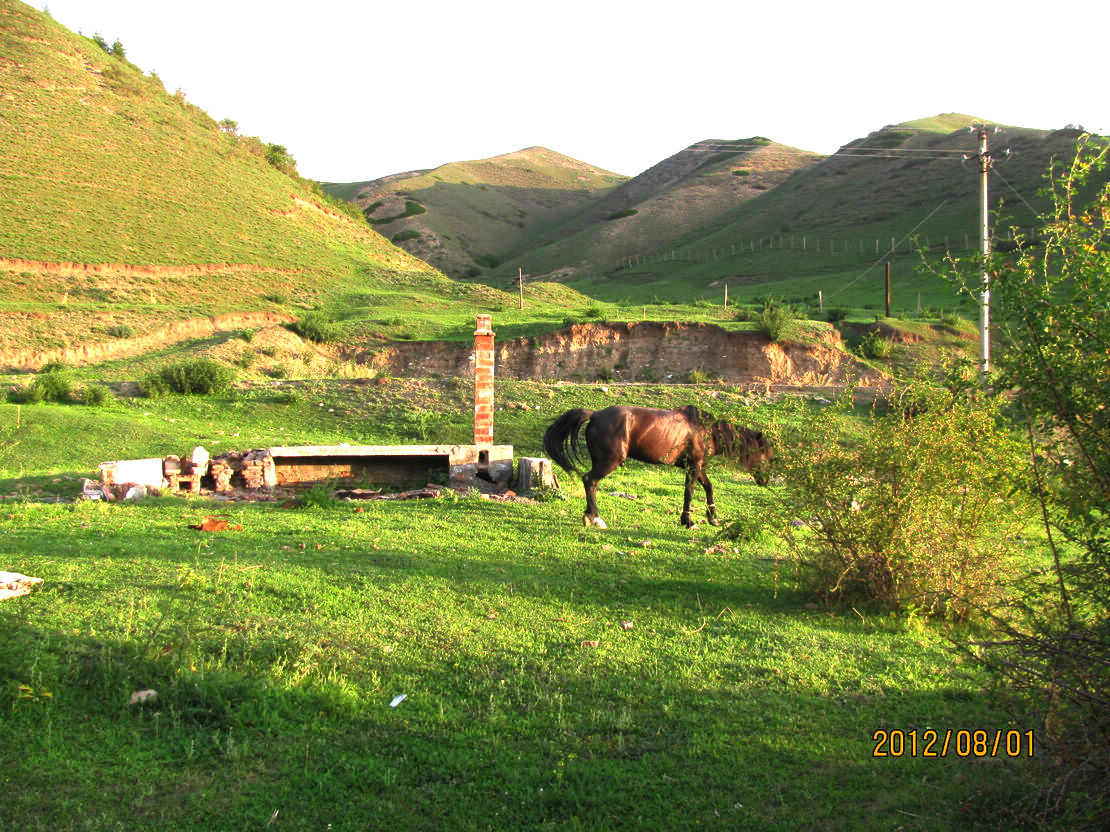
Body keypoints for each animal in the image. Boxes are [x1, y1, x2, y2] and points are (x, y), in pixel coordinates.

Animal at [543, 408, 772, 530]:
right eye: (765, 455)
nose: (765, 480)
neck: (705, 431)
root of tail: (595, 415)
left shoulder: (697, 466)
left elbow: (709, 488)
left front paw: (713, 518)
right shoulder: (694, 466)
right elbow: (689, 493)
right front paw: (688, 521)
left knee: (592, 483)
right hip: (609, 461)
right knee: (590, 481)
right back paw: (593, 517)